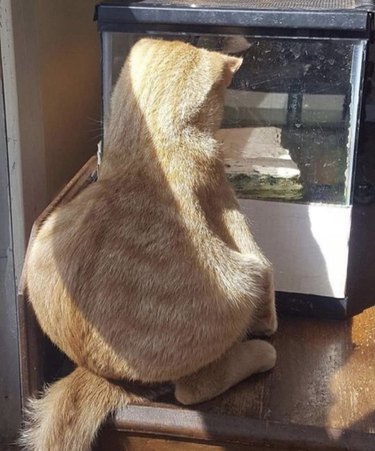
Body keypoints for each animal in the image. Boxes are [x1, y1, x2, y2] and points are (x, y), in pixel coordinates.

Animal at [22, 39, 278, 451]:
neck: (148, 149)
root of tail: (108, 374)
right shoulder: (233, 217)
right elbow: (266, 274)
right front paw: (269, 326)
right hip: (240, 287)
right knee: (192, 390)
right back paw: (259, 353)